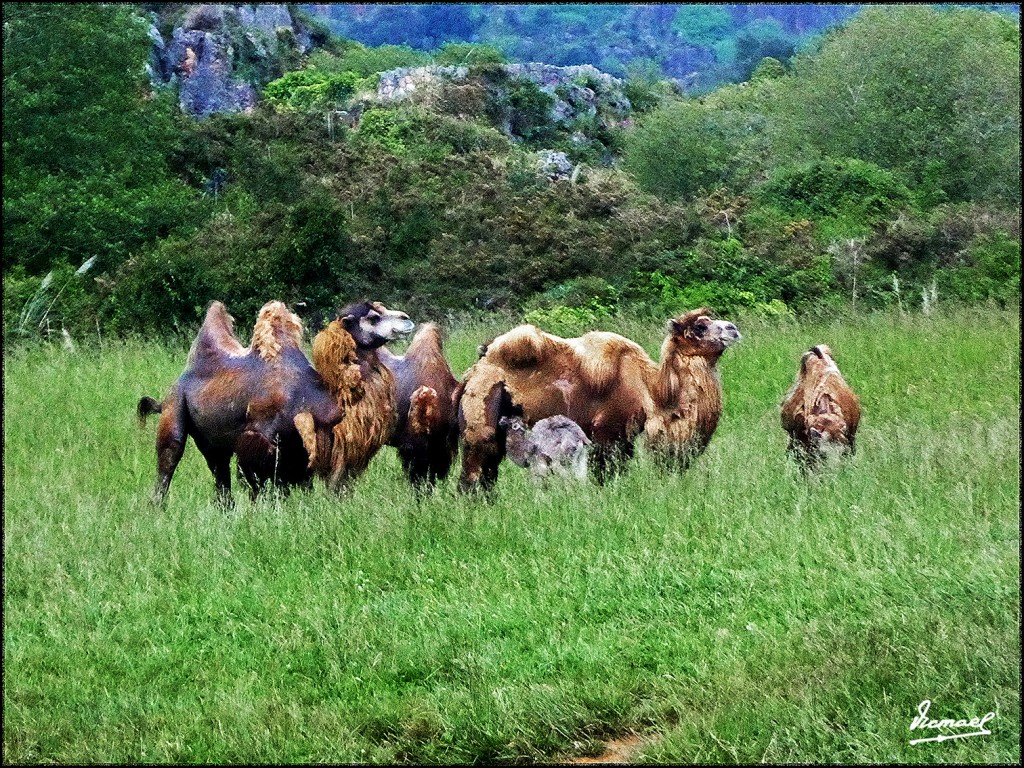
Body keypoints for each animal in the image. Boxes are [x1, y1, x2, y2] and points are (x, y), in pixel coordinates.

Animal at [456, 307, 737, 493]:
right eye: (700, 327)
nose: (733, 328)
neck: (652, 392)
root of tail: (475, 370)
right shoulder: (608, 432)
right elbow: (605, 472)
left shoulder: (624, 437)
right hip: (481, 410)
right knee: (476, 466)